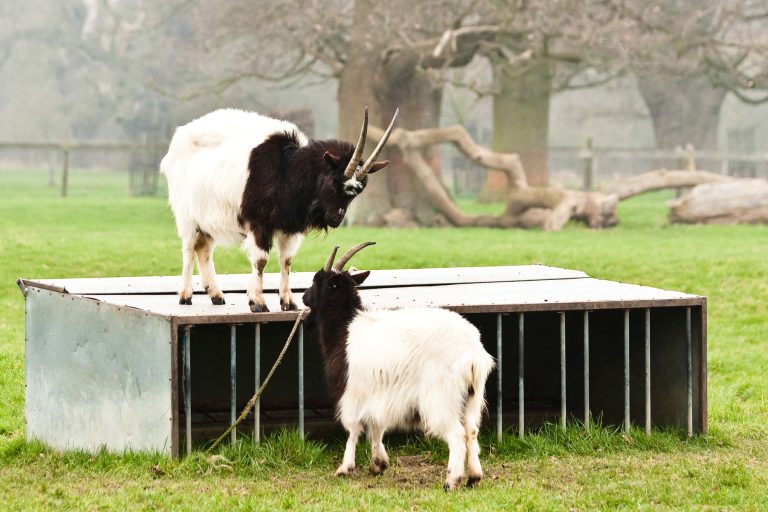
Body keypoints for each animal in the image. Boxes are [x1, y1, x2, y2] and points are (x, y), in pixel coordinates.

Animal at [160, 107, 398, 311]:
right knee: (189, 248)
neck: (286, 171)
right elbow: (261, 260)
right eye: (333, 181)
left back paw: (216, 295)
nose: (336, 219)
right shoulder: (258, 223)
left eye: (358, 190)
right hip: (186, 216)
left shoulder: (289, 227)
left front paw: (288, 302)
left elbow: (287, 261)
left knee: (204, 249)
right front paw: (257, 302)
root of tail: (179, 138)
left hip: (208, 219)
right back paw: (185, 295)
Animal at [301, 243, 495, 490]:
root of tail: (472, 354)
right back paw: (474, 477)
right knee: (471, 431)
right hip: (472, 399)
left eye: (318, 280)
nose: (304, 298)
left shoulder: (351, 393)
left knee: (457, 435)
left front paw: (345, 468)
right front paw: (378, 464)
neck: (345, 329)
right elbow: (376, 428)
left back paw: (451, 481)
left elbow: (353, 429)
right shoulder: (376, 395)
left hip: (441, 399)